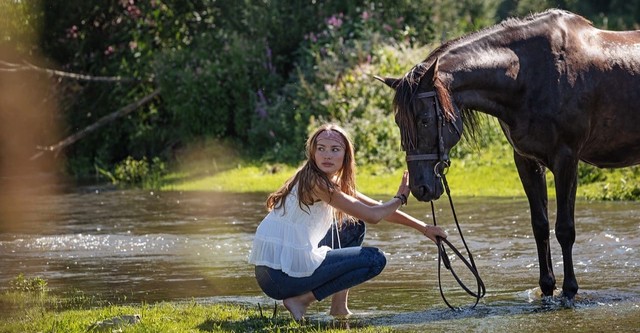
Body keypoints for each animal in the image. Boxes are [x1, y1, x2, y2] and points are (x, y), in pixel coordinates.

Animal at [376, 7, 640, 304]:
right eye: (399, 122)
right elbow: (540, 226)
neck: (530, 75)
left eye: (423, 120)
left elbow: (564, 229)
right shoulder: (526, 161)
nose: (420, 188)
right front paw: (547, 288)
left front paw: (569, 290)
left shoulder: (566, 160)